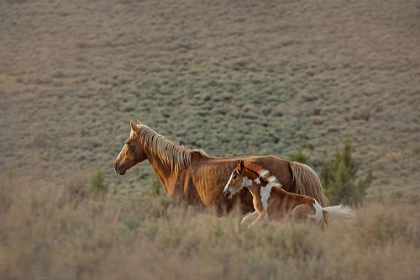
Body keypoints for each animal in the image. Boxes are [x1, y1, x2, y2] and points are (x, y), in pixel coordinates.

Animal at [223, 160, 354, 230]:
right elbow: (245, 220)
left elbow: (251, 226)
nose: (226, 191)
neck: (263, 191)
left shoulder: (266, 217)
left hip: (297, 216)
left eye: (235, 176)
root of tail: (321, 209)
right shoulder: (259, 213)